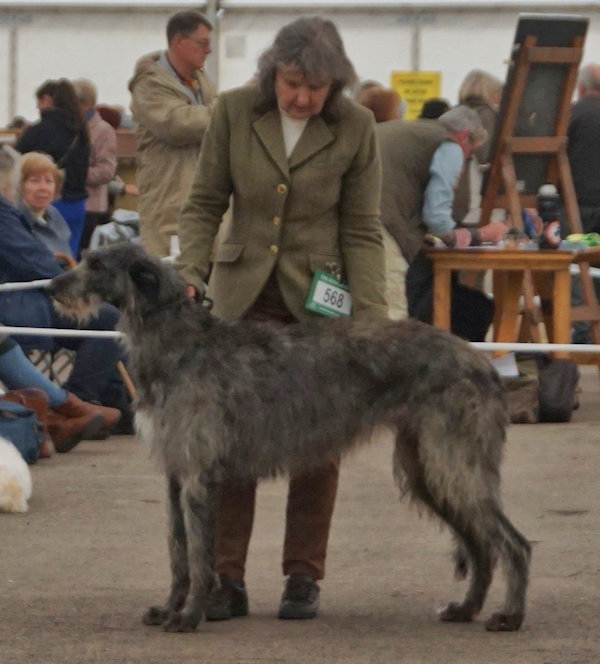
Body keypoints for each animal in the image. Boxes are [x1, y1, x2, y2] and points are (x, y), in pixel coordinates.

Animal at [49, 243, 532, 632]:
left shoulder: (199, 475)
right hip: (426, 469)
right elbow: (178, 555)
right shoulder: (174, 473)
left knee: (513, 544)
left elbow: (201, 559)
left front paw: (189, 617)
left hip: (454, 462)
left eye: (96, 264)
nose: (52, 285)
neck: (178, 342)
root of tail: (480, 360)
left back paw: (509, 616)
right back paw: (466, 609)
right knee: (481, 546)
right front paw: (170, 609)